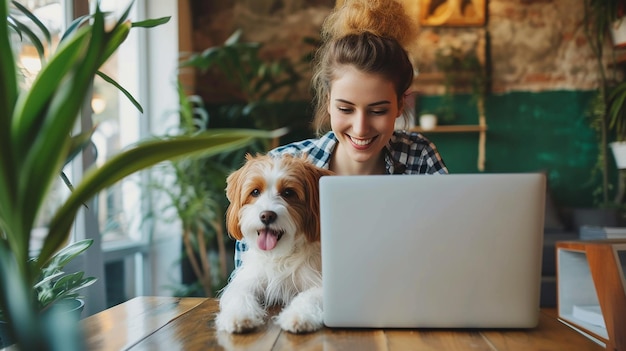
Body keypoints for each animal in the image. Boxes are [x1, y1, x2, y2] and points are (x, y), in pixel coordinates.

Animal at [214, 155, 332, 336]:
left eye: (288, 193)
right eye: (255, 192)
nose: (267, 215)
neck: (280, 254)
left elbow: (310, 296)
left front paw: (298, 316)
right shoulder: (248, 278)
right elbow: (239, 293)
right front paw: (238, 315)